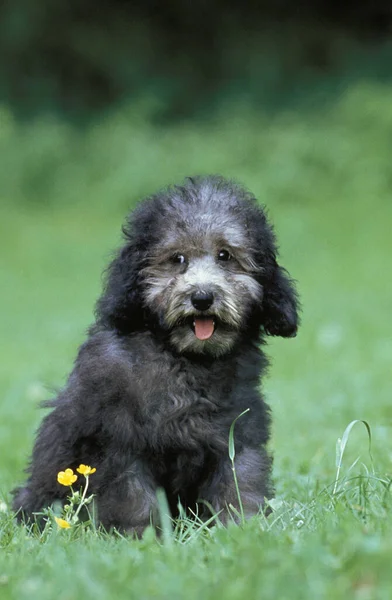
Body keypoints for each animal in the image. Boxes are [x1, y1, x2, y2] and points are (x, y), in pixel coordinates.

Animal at [13, 175, 300, 536]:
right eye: (177, 259)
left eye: (225, 255)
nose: (202, 297)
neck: (185, 359)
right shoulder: (120, 443)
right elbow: (133, 497)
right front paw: (143, 537)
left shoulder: (239, 431)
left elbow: (240, 482)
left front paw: (241, 529)